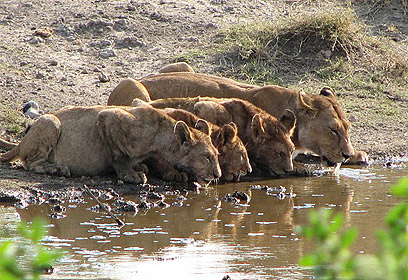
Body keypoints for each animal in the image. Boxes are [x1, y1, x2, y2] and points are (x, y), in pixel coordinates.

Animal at [0, 105, 222, 186]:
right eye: (206, 156)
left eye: (217, 155)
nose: (218, 174)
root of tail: (21, 142)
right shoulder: (108, 118)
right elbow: (119, 156)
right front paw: (131, 175)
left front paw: (139, 167)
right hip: (50, 121)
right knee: (30, 163)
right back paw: (57, 168)